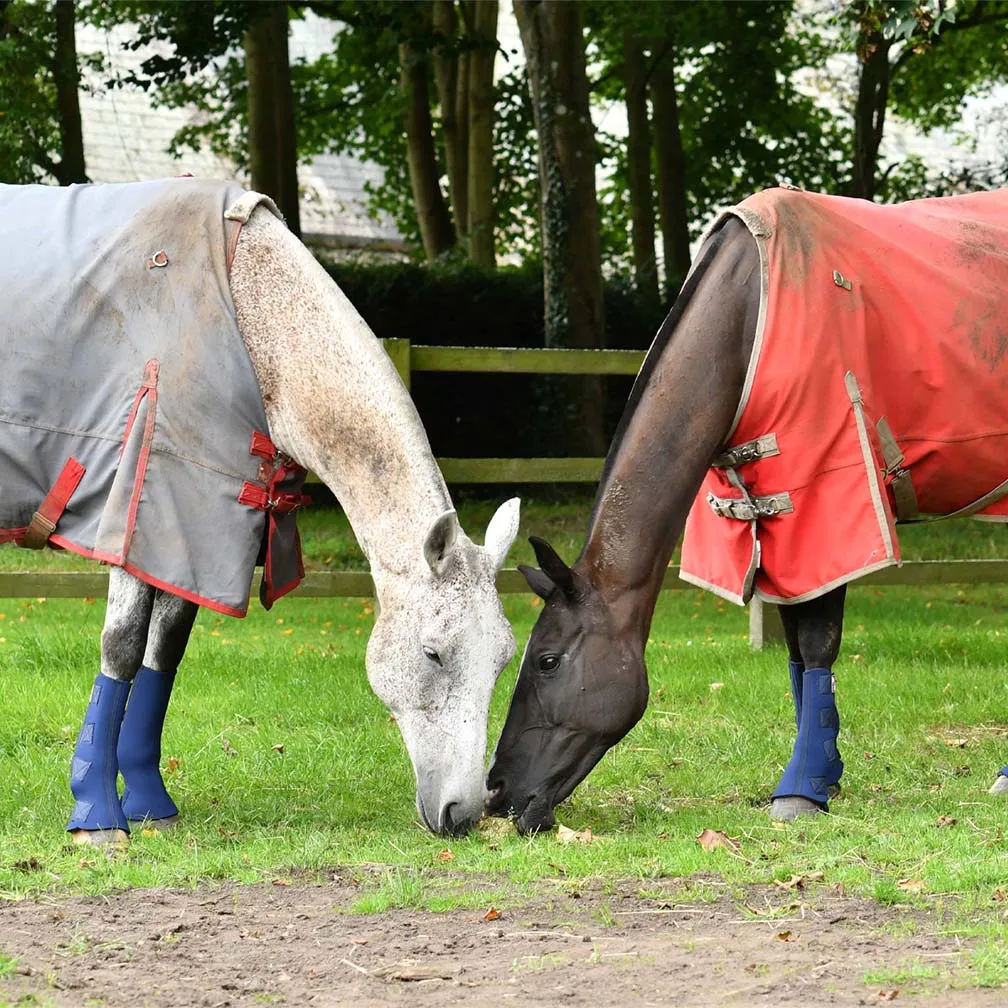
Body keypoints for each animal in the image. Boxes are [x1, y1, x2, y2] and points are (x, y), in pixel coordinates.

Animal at [483, 212, 1003, 834]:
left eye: (547, 660)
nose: (497, 792)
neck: (746, 316)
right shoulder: (779, 525)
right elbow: (795, 650)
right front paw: (825, 775)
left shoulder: (823, 505)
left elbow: (817, 644)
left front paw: (802, 789)